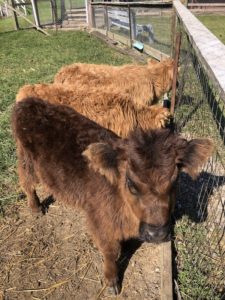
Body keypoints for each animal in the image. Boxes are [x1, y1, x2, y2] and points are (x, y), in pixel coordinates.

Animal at [11, 98, 214, 292]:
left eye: (175, 180)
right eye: (130, 183)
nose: (156, 234)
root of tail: (28, 102)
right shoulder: (101, 223)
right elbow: (111, 252)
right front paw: (111, 281)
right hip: (26, 160)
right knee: (27, 184)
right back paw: (36, 207)